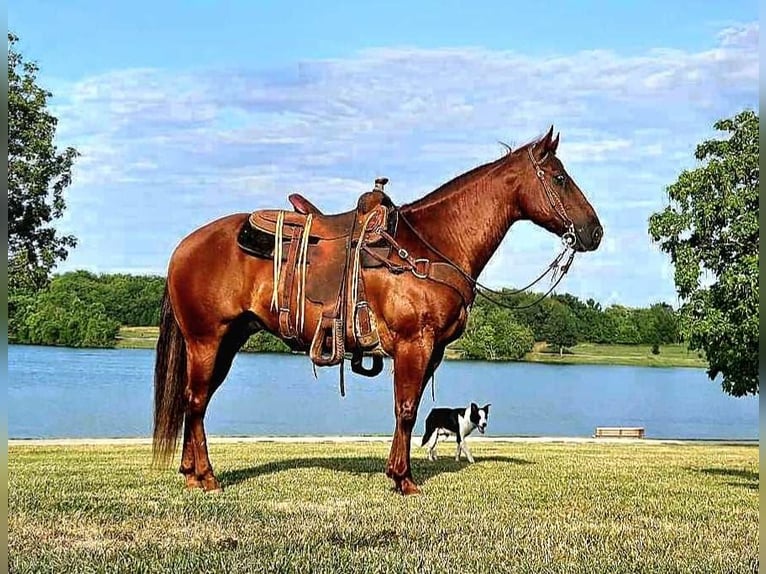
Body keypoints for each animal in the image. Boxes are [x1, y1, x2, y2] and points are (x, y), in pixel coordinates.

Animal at [152, 126, 608, 496]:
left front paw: (397, 473)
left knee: (197, 401)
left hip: (227, 341)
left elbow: (411, 409)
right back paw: (206, 477)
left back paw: (190, 472)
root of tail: (183, 248)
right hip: (206, 339)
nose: (595, 232)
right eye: (560, 178)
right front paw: (403, 479)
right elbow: (405, 410)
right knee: (195, 400)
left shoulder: (432, 351)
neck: (430, 247)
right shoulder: (413, 343)